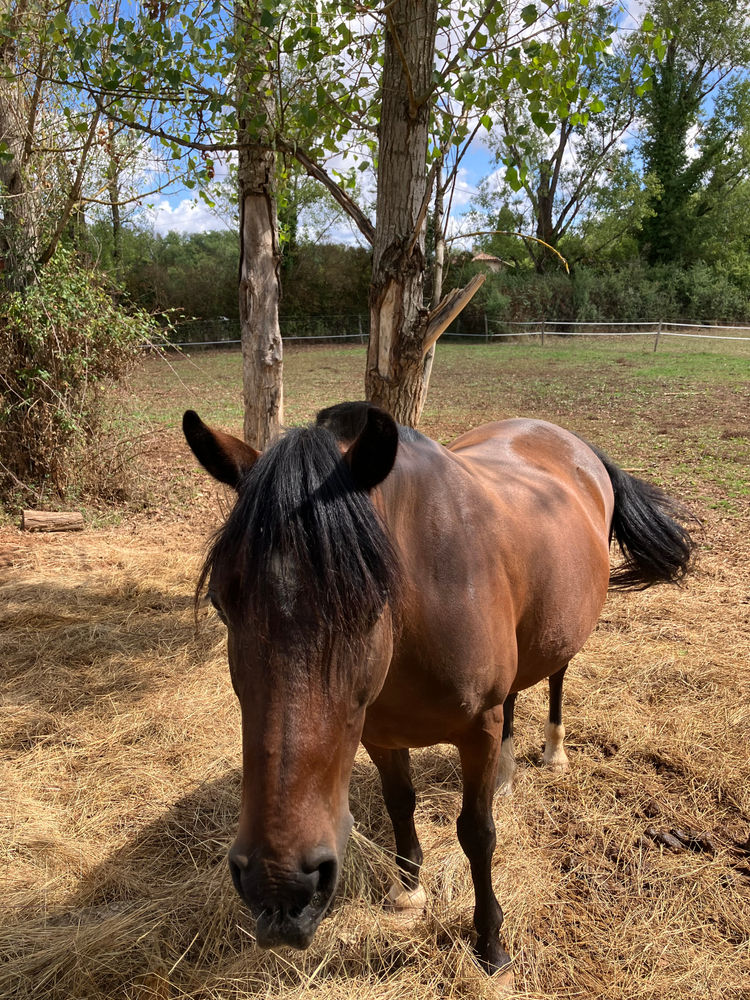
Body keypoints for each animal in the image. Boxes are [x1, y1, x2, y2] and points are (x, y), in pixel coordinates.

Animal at [182, 400, 694, 978]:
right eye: (223, 603)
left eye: (370, 605)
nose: (280, 885)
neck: (423, 608)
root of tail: (572, 442)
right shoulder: (380, 736)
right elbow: (399, 802)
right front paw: (409, 890)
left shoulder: (475, 731)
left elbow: (476, 833)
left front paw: (490, 943)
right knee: (512, 700)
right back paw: (505, 775)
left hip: (564, 633)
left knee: (557, 677)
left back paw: (554, 752)